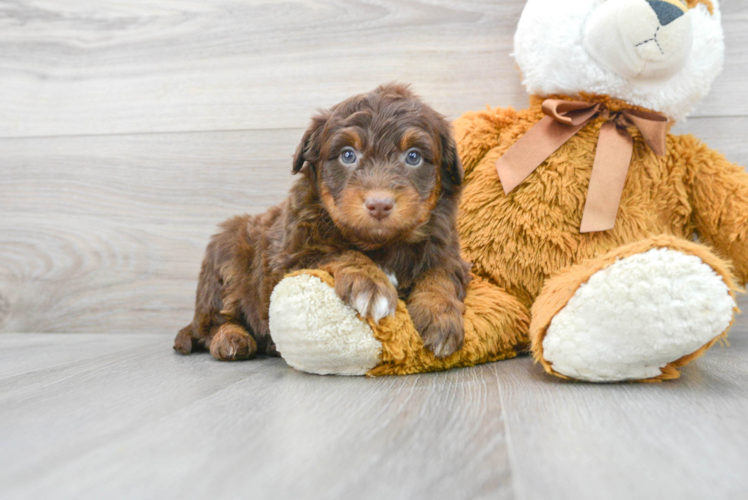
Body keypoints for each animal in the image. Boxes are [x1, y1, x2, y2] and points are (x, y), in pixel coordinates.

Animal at [172, 84, 470, 362]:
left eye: (413, 156)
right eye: (348, 155)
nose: (379, 204)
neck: (379, 243)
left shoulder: (447, 252)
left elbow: (440, 275)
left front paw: (440, 317)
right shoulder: (288, 261)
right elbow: (339, 253)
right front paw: (371, 283)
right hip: (226, 259)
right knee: (215, 322)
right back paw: (232, 339)